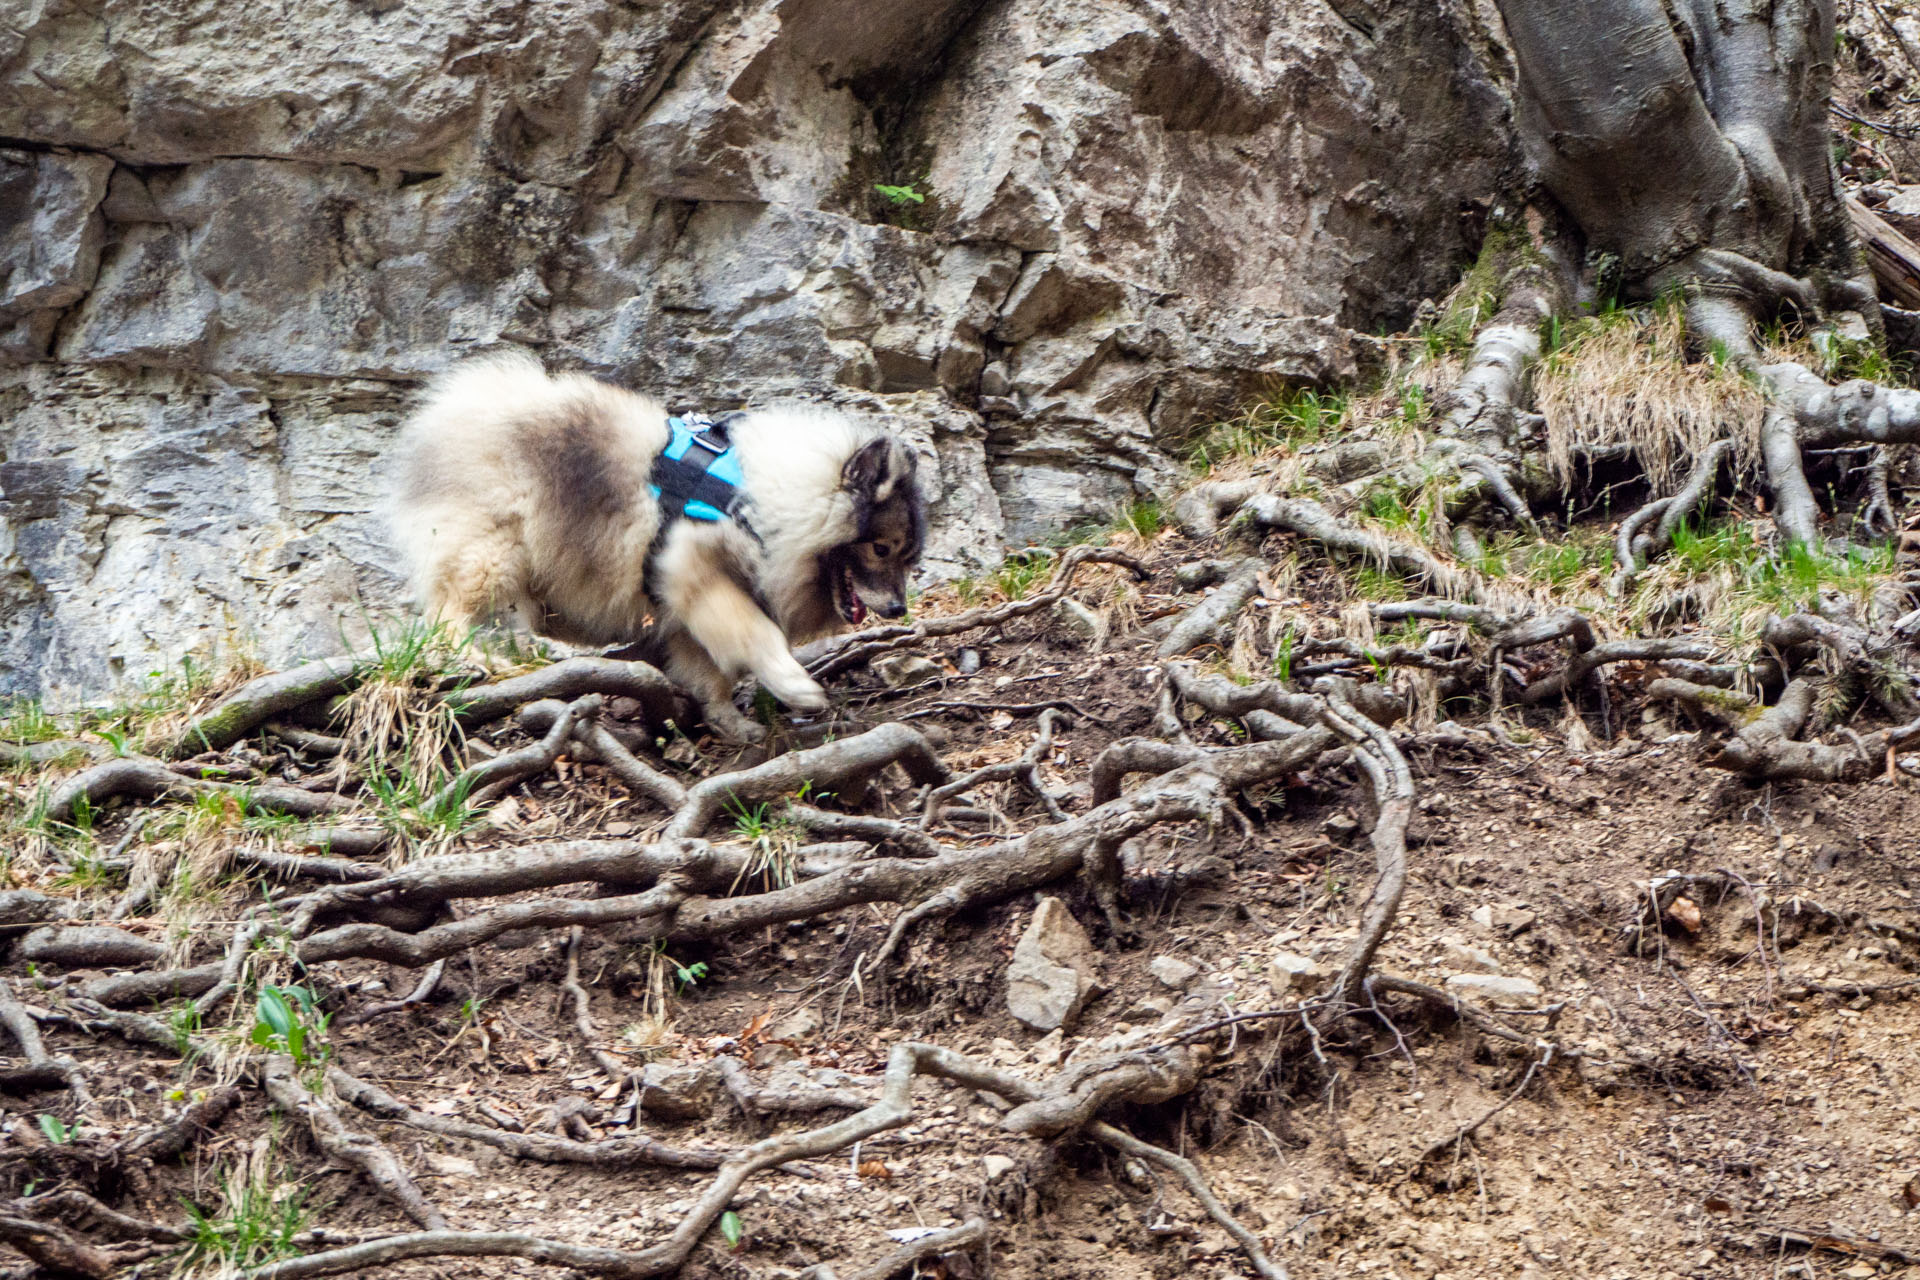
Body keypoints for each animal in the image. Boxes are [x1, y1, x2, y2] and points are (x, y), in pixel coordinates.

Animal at [385, 351, 925, 740]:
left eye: (907, 557)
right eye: (881, 549)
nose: (899, 609)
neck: (763, 501)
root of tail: (449, 413)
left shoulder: (686, 610)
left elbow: (710, 674)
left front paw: (729, 722)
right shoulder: (693, 566)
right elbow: (756, 633)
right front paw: (793, 684)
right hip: (493, 552)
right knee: (446, 614)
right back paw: (476, 660)